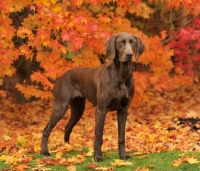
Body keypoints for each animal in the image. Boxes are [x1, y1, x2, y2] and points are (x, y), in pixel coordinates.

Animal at [40, 32, 144, 162]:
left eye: (133, 42)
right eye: (121, 42)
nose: (129, 55)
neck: (121, 75)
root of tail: (60, 78)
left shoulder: (123, 110)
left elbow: (121, 137)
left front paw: (123, 155)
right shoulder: (101, 110)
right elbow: (98, 136)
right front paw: (98, 157)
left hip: (78, 109)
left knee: (67, 127)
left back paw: (67, 148)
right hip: (60, 107)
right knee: (46, 130)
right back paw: (44, 152)